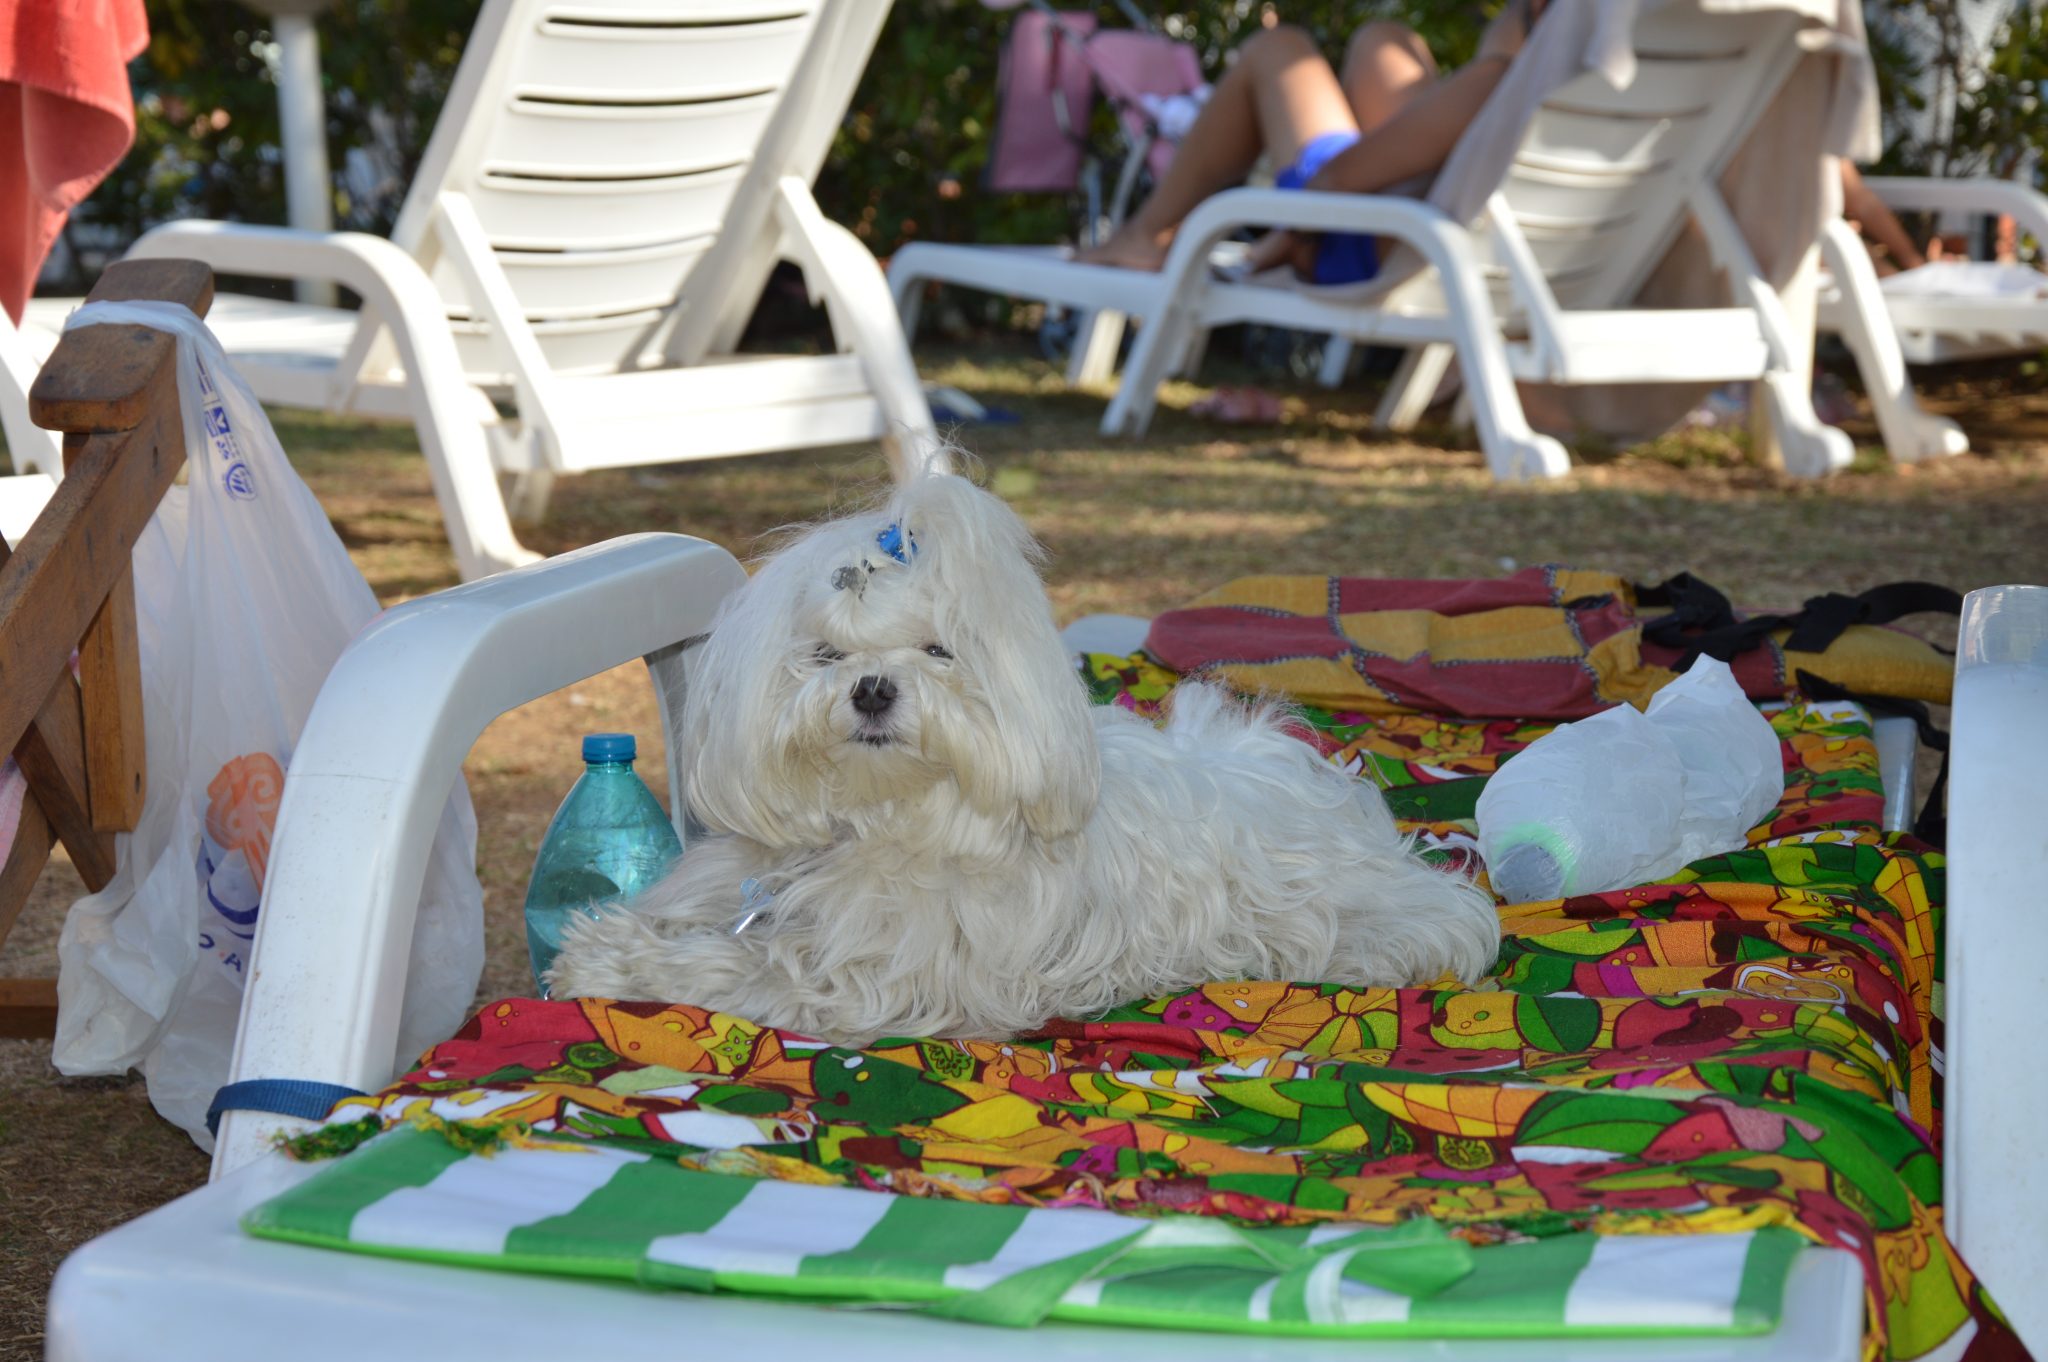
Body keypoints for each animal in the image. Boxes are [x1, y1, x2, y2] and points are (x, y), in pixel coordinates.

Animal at [552, 473, 1499, 1044]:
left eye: (939, 650)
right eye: (824, 655)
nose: (872, 690)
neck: (882, 821)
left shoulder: (877, 981)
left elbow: (734, 965)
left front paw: (609, 959)